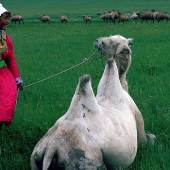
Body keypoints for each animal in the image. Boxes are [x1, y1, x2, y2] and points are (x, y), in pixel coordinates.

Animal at [30, 34, 155, 170]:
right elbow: (148, 140)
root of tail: (52, 147)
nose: (97, 41)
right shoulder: (139, 122)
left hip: (35, 155)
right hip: (89, 160)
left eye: (108, 42)